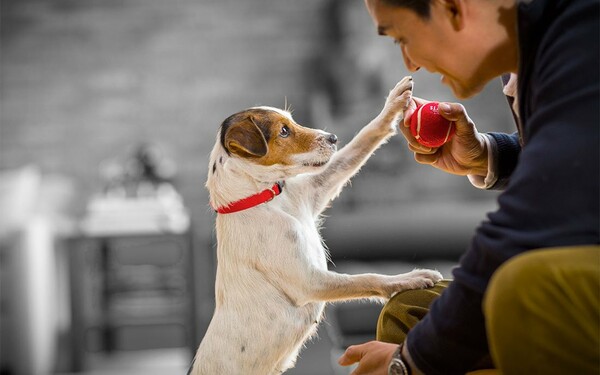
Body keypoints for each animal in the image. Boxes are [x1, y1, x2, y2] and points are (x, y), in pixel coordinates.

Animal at [190, 75, 442, 374]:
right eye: (284, 131)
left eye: (292, 122)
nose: (333, 137)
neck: (268, 199)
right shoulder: (310, 282)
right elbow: (367, 277)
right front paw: (410, 278)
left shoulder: (317, 190)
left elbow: (363, 140)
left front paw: (393, 104)